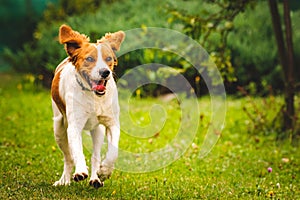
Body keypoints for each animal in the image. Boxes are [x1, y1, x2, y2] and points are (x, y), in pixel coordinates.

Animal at [51, 24, 125, 188]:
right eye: (90, 59)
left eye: (108, 59)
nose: (105, 72)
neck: (94, 97)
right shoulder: (74, 126)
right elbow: (77, 151)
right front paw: (80, 171)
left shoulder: (112, 123)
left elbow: (113, 152)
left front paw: (104, 172)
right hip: (58, 128)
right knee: (68, 157)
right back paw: (64, 180)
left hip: (97, 131)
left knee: (95, 155)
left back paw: (95, 179)